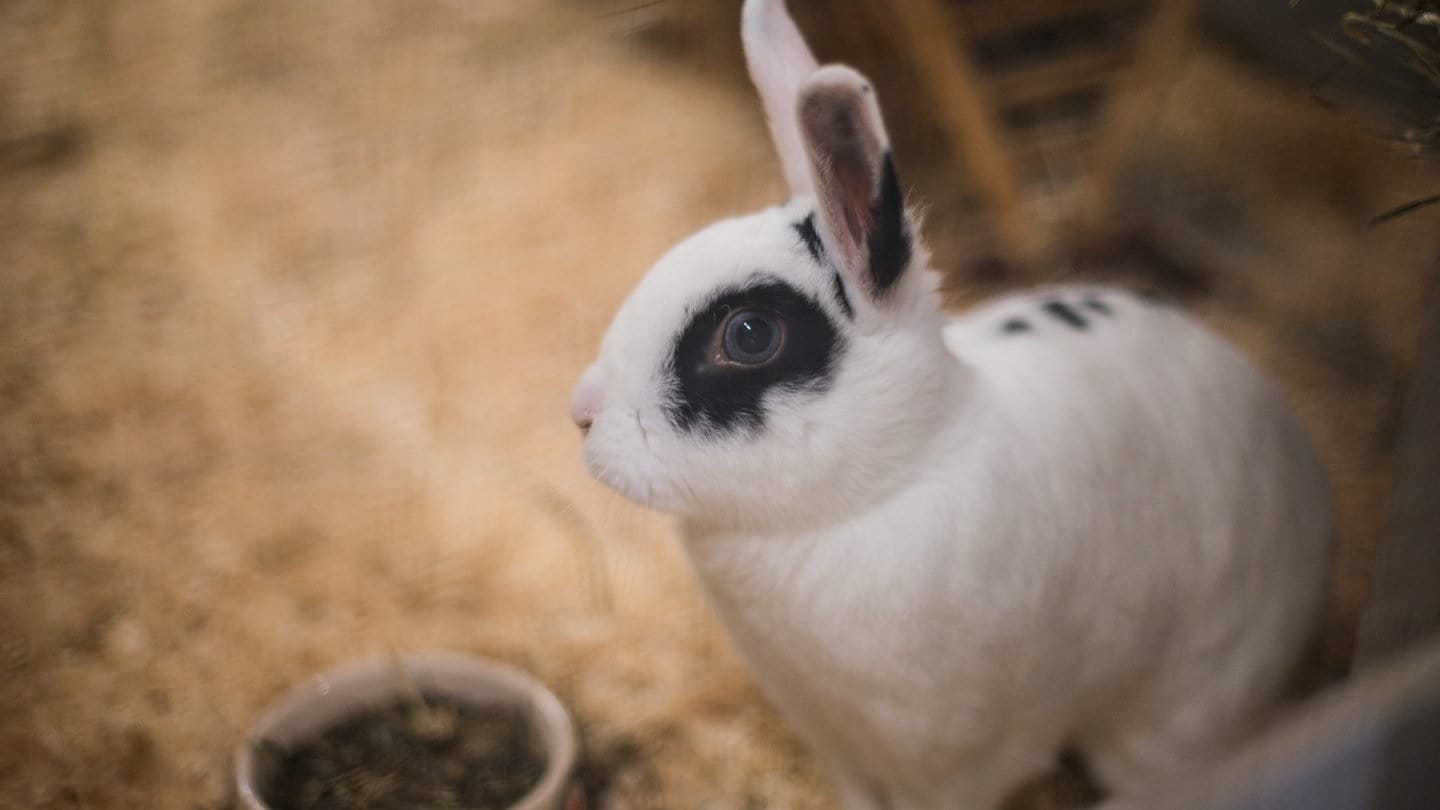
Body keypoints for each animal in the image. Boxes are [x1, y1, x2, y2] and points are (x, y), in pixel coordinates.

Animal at [567, 3, 1330, 801]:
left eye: (749, 335)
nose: (581, 412)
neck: (881, 487)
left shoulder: (952, 762)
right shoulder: (832, 735)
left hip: (1179, 712)